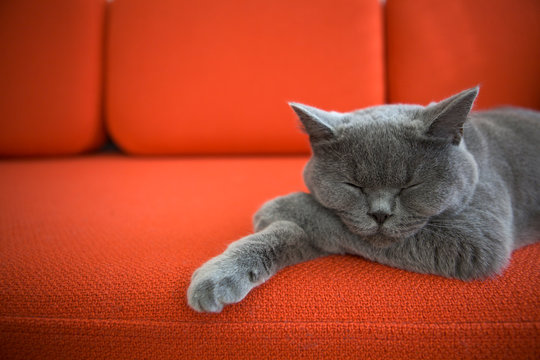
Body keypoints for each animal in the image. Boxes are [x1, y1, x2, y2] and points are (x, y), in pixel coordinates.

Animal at [187, 87, 540, 312]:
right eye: (353, 185)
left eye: (410, 186)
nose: (380, 214)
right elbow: (287, 233)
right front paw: (217, 277)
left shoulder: (478, 240)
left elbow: (327, 219)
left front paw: (278, 206)